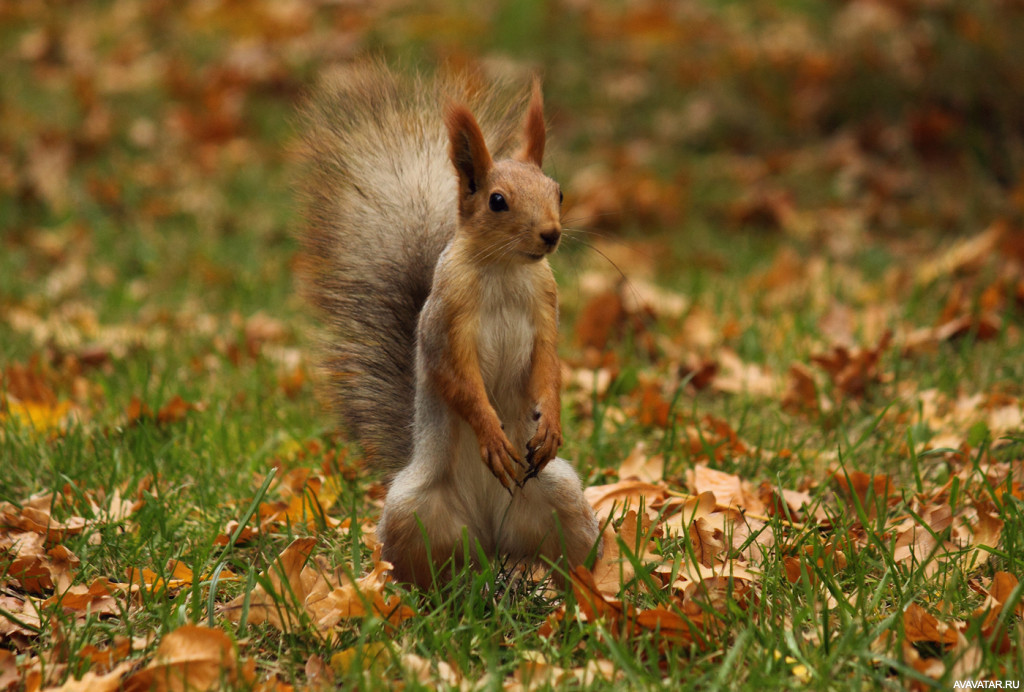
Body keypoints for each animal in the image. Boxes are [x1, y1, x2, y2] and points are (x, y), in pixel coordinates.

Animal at [296, 62, 598, 585]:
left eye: (558, 191)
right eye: (497, 201)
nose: (551, 234)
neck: (504, 270)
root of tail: (492, 537)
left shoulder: (546, 310)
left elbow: (548, 367)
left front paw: (551, 425)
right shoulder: (445, 323)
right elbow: (456, 381)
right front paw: (492, 434)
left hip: (561, 501)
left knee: (570, 554)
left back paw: (587, 593)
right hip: (413, 514)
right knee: (426, 572)